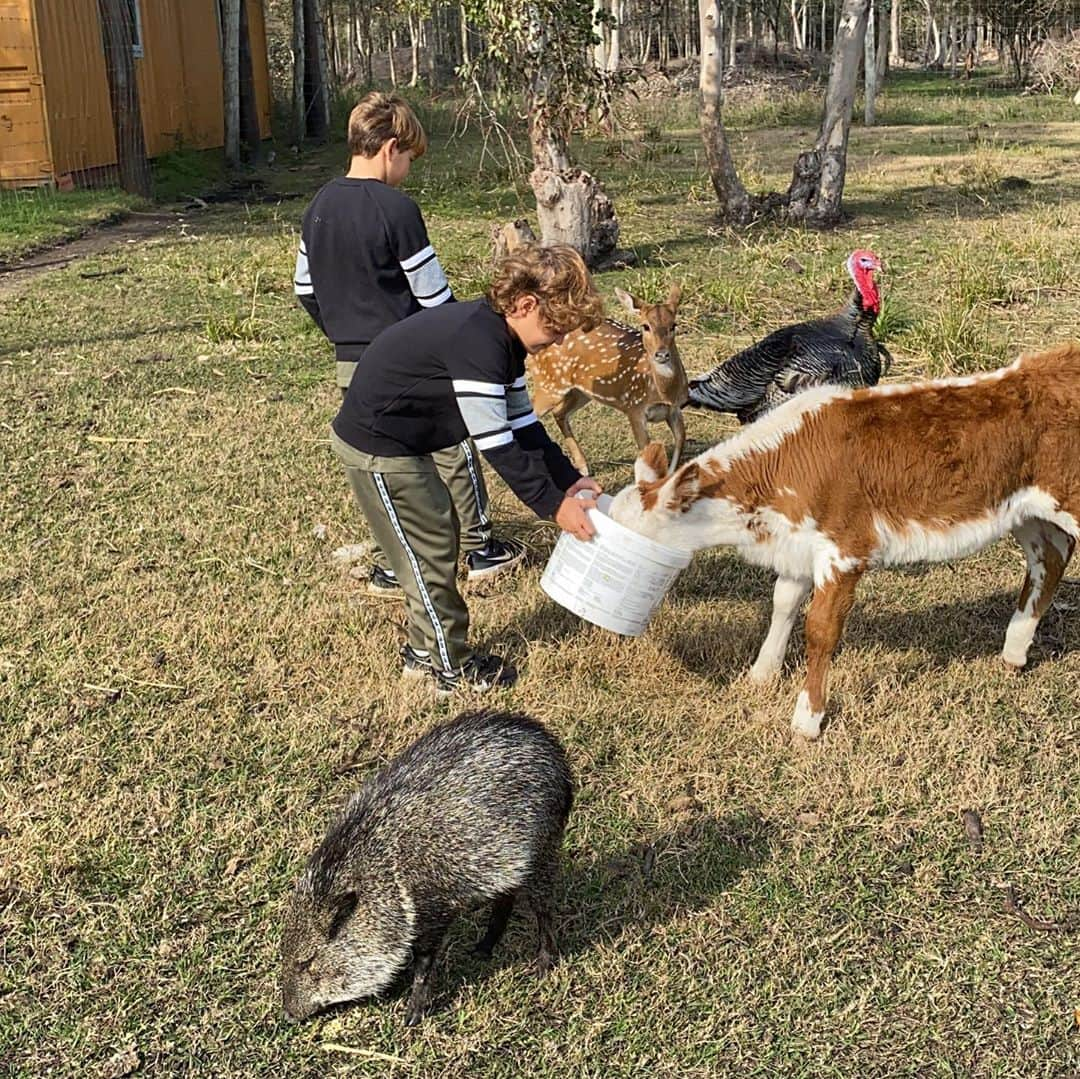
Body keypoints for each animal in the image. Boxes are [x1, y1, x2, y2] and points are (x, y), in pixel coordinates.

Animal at [527, 285, 686, 475]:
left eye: (673, 325)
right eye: (645, 326)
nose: (661, 354)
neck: (663, 392)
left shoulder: (675, 409)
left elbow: (680, 443)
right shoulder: (634, 408)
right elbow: (646, 451)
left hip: (581, 391)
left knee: (559, 413)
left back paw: (583, 467)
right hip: (548, 383)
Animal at [609, 341, 1080, 738]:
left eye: (627, 538)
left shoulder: (845, 551)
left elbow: (821, 630)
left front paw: (807, 720)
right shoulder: (798, 543)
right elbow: (782, 603)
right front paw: (762, 673)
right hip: (1025, 511)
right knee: (1051, 557)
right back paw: (1014, 651)